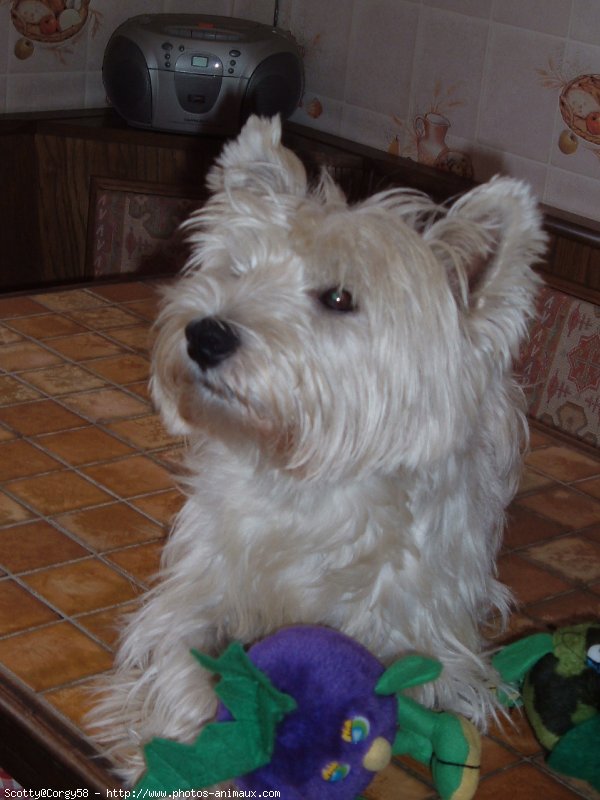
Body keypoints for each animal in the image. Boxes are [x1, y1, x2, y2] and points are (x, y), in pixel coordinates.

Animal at [91, 114, 548, 780]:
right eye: (238, 271)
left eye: (338, 298)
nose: (205, 336)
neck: (307, 485)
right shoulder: (196, 590)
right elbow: (180, 657)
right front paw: (179, 743)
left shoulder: (432, 632)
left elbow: (412, 683)